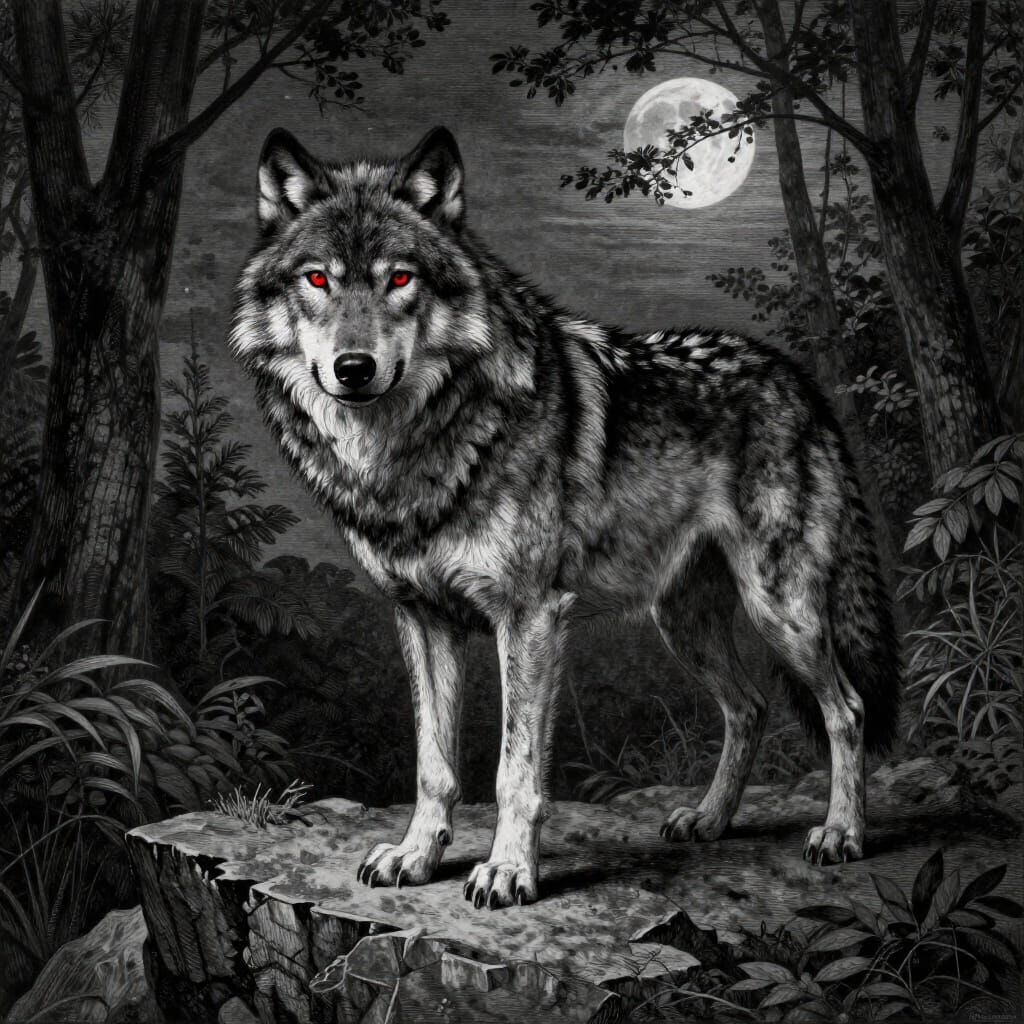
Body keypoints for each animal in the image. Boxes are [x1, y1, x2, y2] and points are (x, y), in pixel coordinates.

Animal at [230, 126, 899, 909]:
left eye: (400, 280)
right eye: (317, 281)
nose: (354, 368)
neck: (408, 451)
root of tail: (799, 379)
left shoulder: (530, 616)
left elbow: (514, 770)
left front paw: (509, 871)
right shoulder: (423, 619)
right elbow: (435, 765)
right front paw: (416, 857)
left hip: (780, 608)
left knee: (845, 709)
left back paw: (842, 834)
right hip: (683, 622)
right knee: (751, 706)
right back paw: (709, 820)